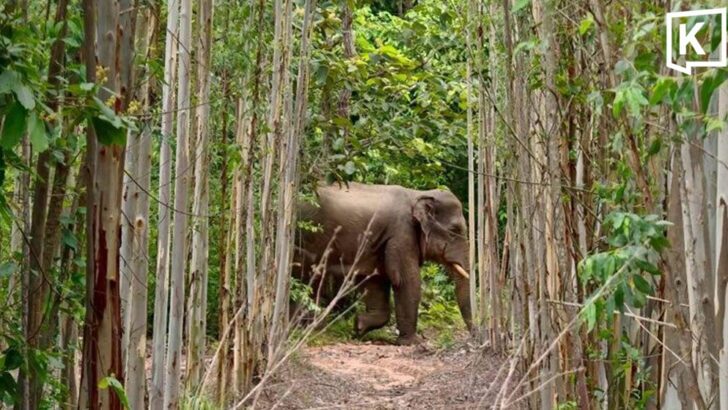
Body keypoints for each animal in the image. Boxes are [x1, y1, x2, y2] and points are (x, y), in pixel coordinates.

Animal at [294, 182, 472, 345]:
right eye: (454, 230)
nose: (473, 335)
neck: (418, 194)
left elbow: (377, 281)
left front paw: (359, 326)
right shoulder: (401, 234)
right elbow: (406, 281)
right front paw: (413, 343)